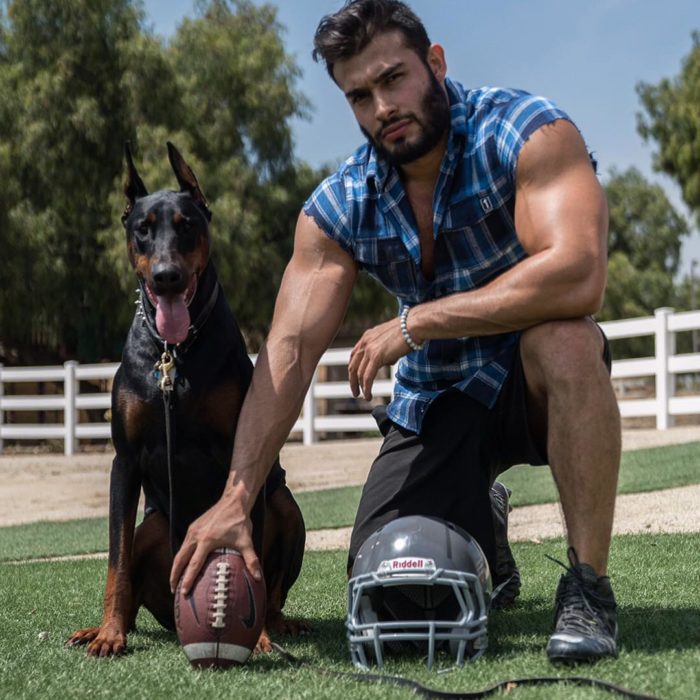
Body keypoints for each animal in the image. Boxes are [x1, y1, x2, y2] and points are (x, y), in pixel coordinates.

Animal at [66, 141, 306, 656]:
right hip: (154, 526)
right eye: (142, 229)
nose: (167, 276)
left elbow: (252, 552)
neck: (174, 352)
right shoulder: (125, 461)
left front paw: (256, 637)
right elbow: (115, 559)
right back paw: (105, 628)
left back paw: (279, 624)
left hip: (285, 504)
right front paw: (110, 634)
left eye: (187, 225)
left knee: (276, 582)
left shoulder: (241, 457)